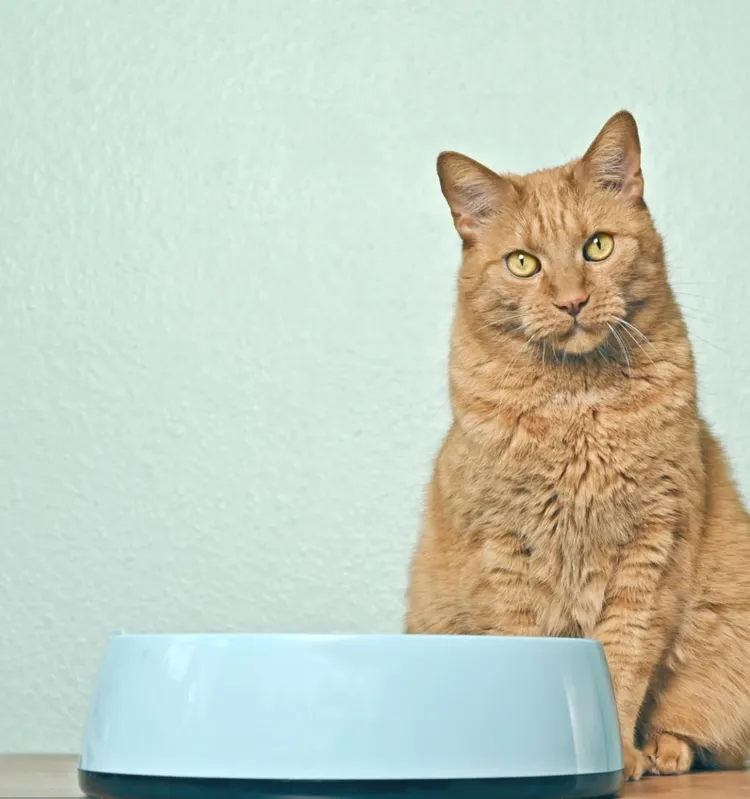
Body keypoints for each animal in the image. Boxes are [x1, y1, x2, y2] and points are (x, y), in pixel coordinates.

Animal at [406, 112, 750, 780]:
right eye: (522, 263)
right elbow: (521, 650)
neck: (576, 408)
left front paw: (617, 755)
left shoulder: (653, 547)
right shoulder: (501, 549)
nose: (572, 301)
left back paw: (665, 751)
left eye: (597, 246)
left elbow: (622, 662)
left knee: (698, 730)